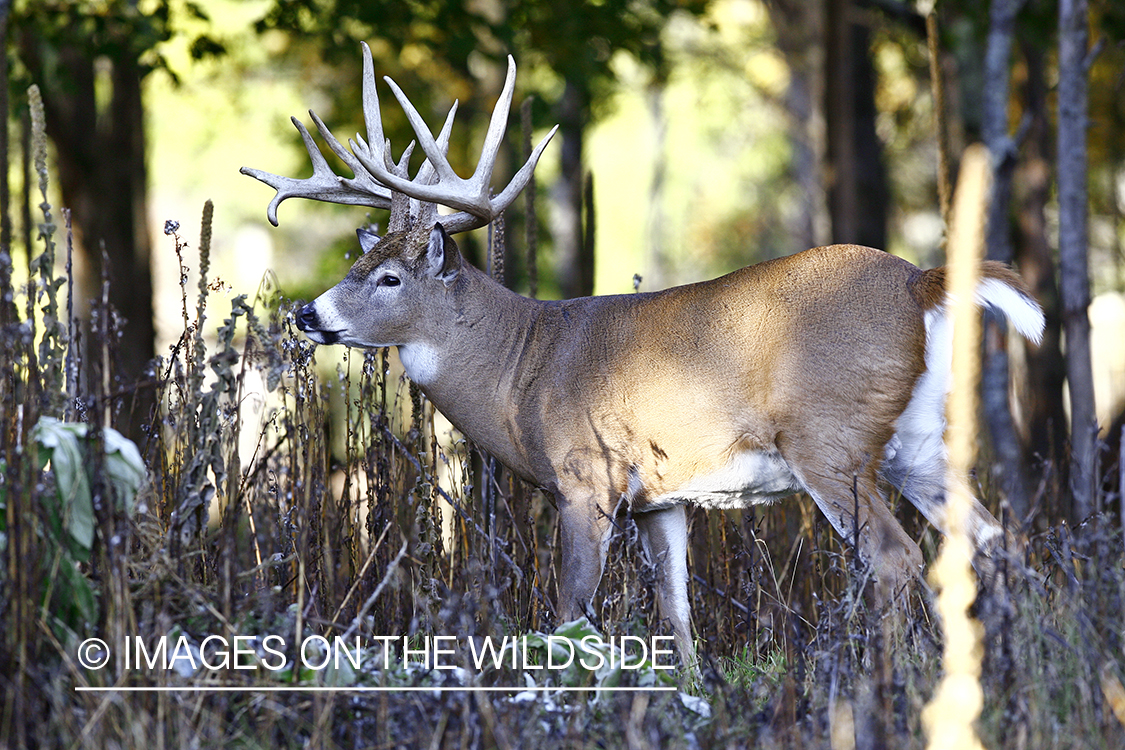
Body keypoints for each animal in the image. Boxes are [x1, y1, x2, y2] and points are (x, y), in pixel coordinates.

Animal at [244, 42, 1044, 670]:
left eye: (388, 278)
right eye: (359, 261)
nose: (306, 314)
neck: (522, 366)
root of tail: (919, 282)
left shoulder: (585, 479)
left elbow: (568, 614)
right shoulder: (663, 497)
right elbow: (677, 613)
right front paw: (689, 696)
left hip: (830, 439)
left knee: (897, 557)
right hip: (918, 444)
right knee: (998, 541)